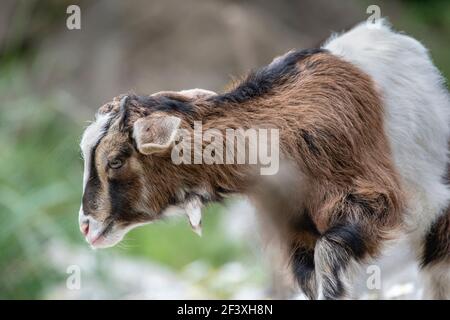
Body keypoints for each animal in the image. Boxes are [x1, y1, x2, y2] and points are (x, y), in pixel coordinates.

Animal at [79, 20, 450, 300]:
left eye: (115, 160)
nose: (85, 225)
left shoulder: (374, 200)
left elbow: (330, 264)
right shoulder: (292, 231)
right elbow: (310, 278)